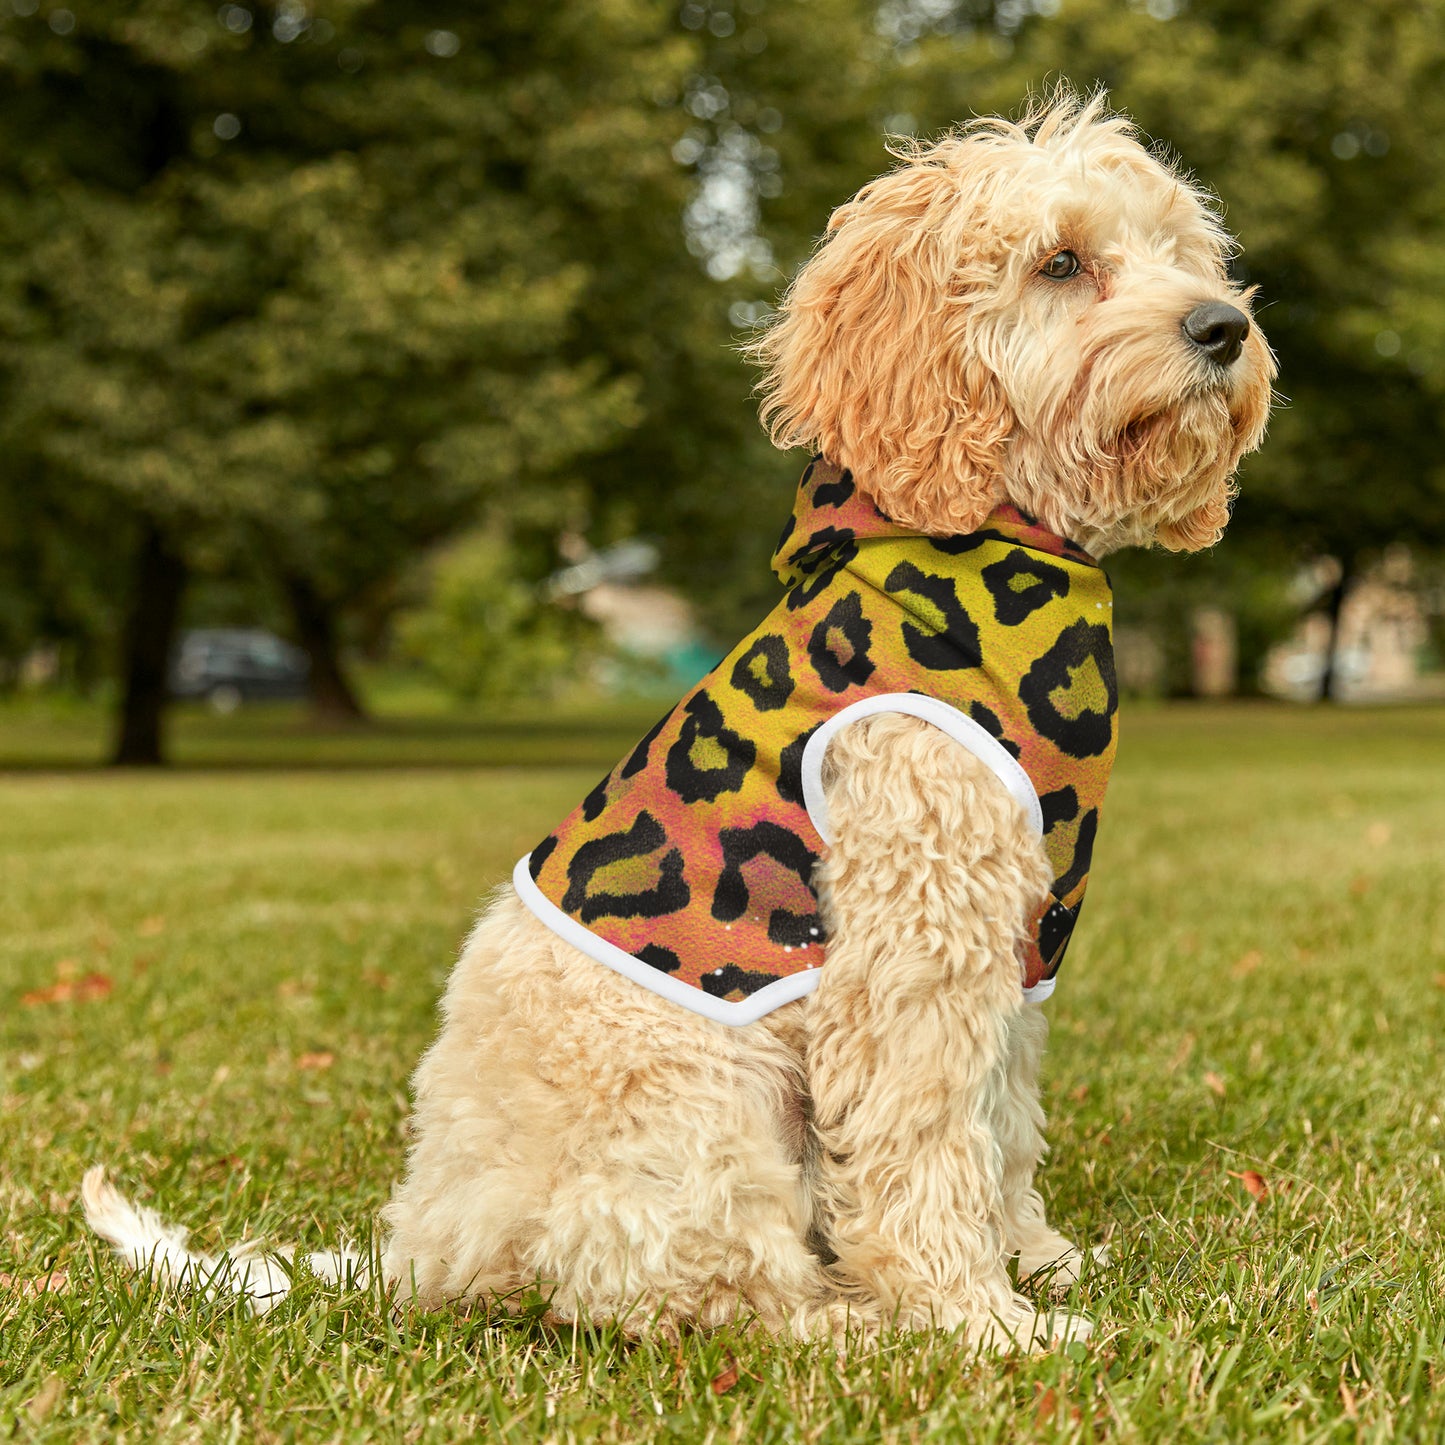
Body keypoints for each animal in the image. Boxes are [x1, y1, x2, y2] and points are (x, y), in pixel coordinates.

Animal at [84, 96, 1271, 1346]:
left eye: (1180, 253)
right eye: (1060, 262)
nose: (1222, 326)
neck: (984, 539)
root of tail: (423, 1247)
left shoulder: (1015, 938)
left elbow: (999, 1121)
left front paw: (1033, 1259)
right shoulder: (913, 937)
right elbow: (924, 1138)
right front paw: (976, 1318)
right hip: (705, 1104)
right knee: (700, 1287)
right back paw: (847, 1319)